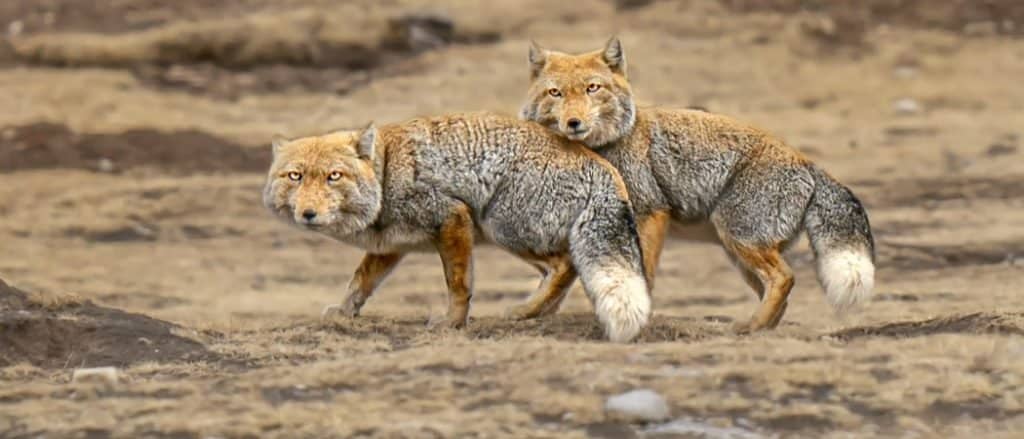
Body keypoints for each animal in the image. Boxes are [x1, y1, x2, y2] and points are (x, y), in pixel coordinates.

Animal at [264, 111, 647, 339]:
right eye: (295, 177)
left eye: (334, 176)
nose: (308, 213)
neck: (386, 175)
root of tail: (600, 163)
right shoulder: (388, 246)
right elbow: (360, 281)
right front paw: (344, 313)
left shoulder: (452, 218)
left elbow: (458, 283)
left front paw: (453, 323)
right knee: (560, 271)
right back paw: (533, 312)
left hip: (501, 227)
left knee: (566, 265)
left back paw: (525, 310)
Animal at [520, 38, 872, 331]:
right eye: (555, 93)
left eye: (593, 88)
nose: (573, 123)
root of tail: (808, 163)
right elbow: (562, 278)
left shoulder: (650, 211)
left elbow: (642, 272)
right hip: (739, 253)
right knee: (780, 292)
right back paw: (761, 326)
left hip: (738, 238)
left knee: (785, 278)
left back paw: (751, 327)